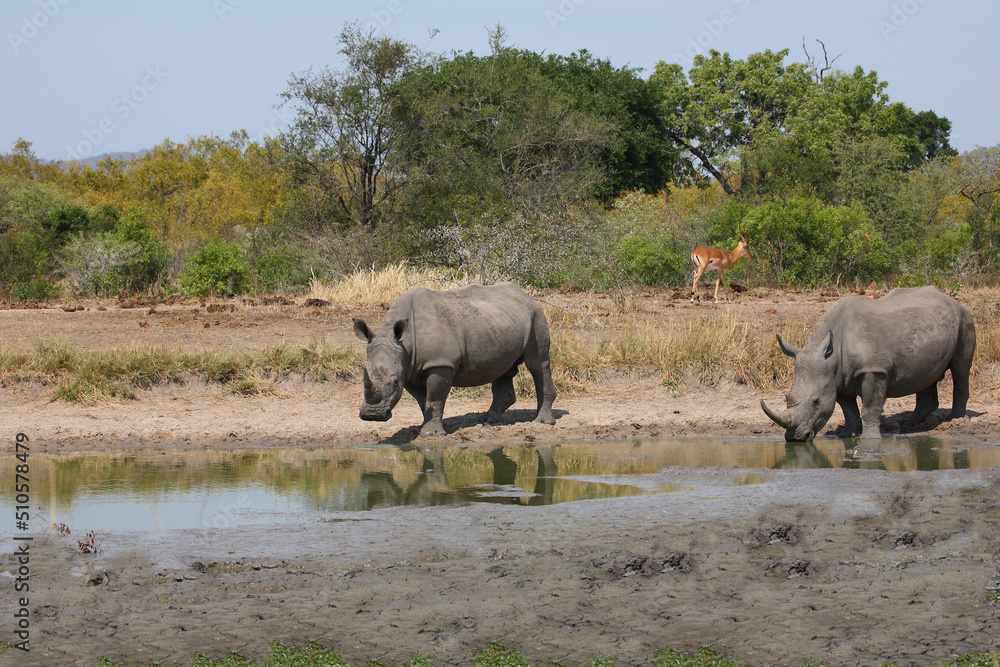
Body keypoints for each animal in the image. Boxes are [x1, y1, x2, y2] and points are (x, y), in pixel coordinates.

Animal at [353, 282, 557, 436]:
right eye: (363, 378)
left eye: (394, 382)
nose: (372, 415)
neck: (405, 344)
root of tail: (525, 295)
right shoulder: (409, 369)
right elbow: (423, 401)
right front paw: (422, 429)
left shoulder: (440, 363)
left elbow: (434, 398)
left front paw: (431, 433)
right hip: (503, 321)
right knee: (503, 368)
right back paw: (489, 421)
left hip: (535, 315)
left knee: (537, 363)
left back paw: (542, 422)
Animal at [760, 286, 976, 441]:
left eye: (816, 402)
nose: (794, 438)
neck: (832, 357)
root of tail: (951, 299)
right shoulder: (838, 378)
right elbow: (849, 410)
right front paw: (845, 435)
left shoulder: (873, 370)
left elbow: (870, 407)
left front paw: (870, 439)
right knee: (926, 375)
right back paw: (910, 426)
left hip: (964, 318)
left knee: (961, 369)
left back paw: (956, 420)